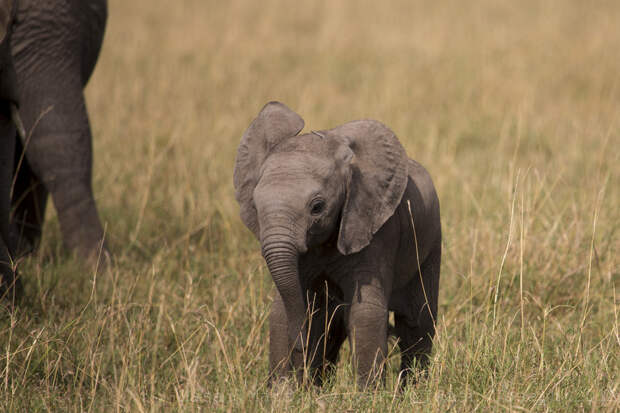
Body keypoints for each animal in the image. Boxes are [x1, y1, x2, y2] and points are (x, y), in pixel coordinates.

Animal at [234, 100, 440, 386]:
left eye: (317, 207)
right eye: (255, 204)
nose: (299, 346)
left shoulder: (376, 228)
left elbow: (365, 313)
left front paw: (369, 394)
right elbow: (281, 311)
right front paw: (281, 391)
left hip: (431, 243)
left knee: (416, 323)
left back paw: (412, 389)